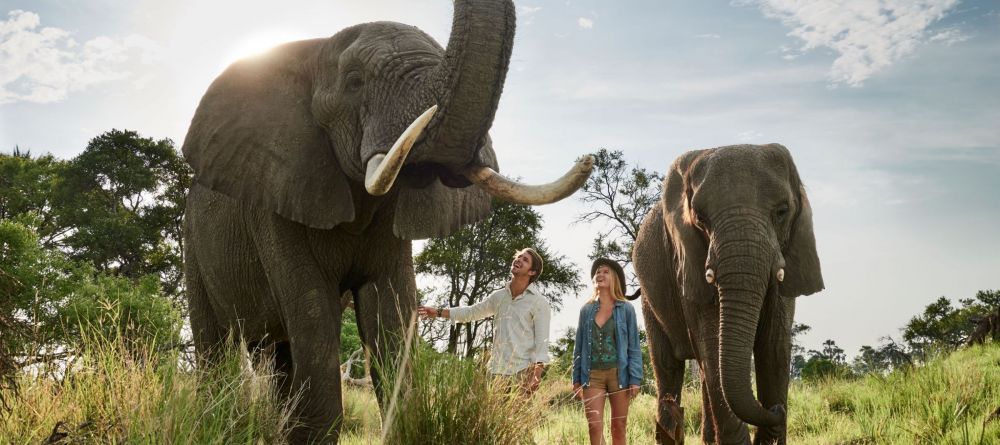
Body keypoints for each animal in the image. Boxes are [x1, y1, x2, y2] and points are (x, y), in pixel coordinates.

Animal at [180, 1, 592, 442]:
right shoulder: (276, 200)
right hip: (192, 242)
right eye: (355, 81)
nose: (587, 158)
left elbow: (390, 314)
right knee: (215, 344)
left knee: (279, 352)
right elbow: (314, 311)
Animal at [633, 144, 823, 445]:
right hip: (650, 301)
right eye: (700, 219)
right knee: (669, 368)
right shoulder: (687, 263)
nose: (778, 409)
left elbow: (775, 347)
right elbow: (713, 346)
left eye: (782, 211)